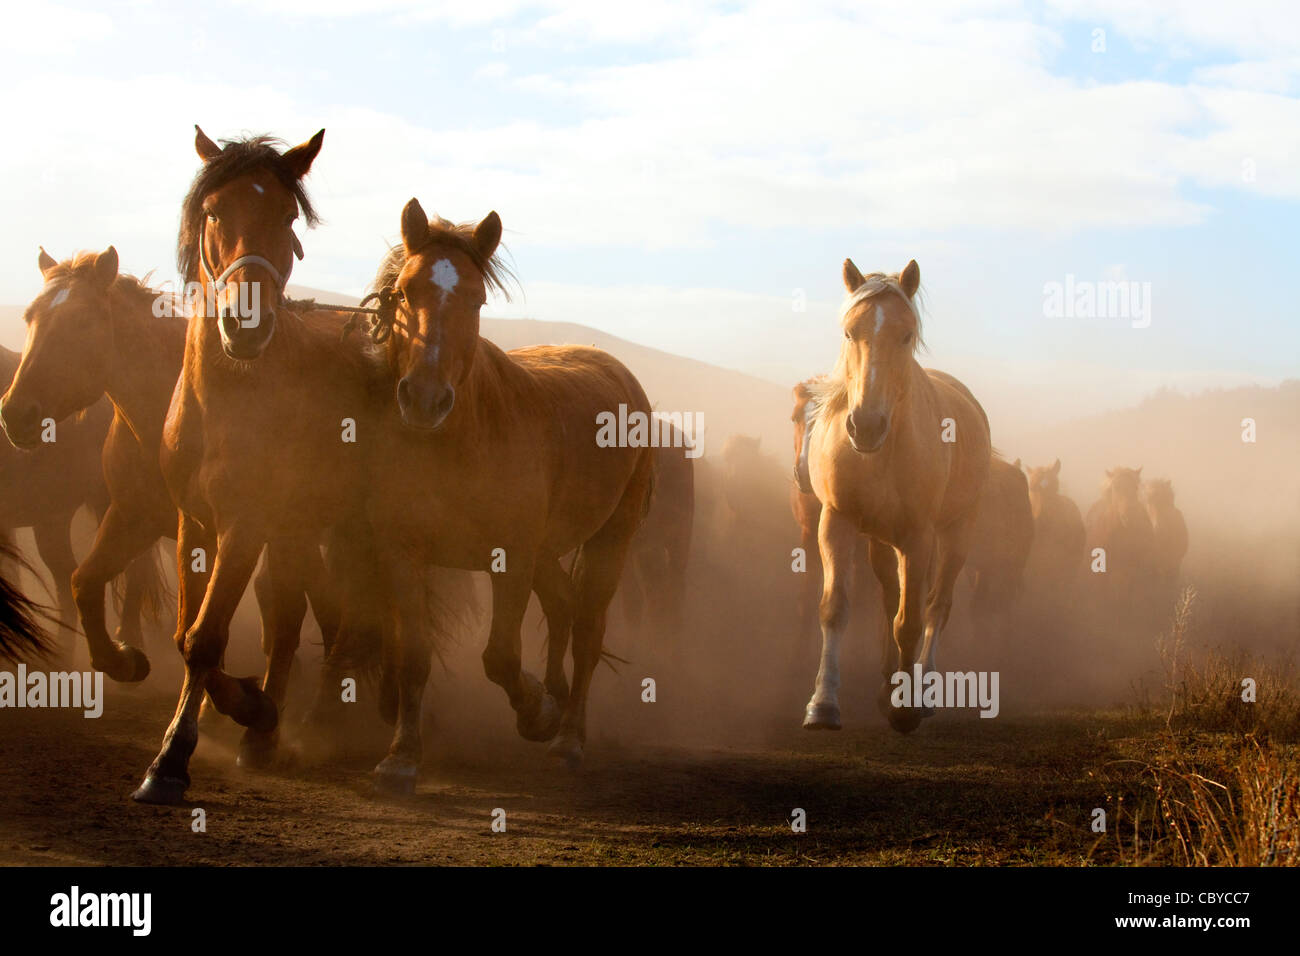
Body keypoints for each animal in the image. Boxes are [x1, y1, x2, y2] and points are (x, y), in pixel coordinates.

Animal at [358, 199, 655, 783]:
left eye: (476, 299)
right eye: (403, 292)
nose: (424, 399)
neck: (461, 440)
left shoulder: (510, 558)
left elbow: (499, 656)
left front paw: (536, 712)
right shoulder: (401, 553)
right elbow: (413, 655)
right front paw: (401, 757)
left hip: (611, 536)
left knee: (587, 631)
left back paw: (567, 736)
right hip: (545, 551)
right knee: (562, 606)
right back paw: (558, 697)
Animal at [802, 259, 991, 734]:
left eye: (906, 335)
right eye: (850, 332)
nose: (866, 426)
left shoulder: (919, 536)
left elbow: (911, 621)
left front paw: (905, 710)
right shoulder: (836, 522)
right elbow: (835, 608)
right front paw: (823, 704)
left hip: (957, 532)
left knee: (936, 607)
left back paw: (921, 690)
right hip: (879, 539)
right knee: (891, 598)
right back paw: (890, 681)